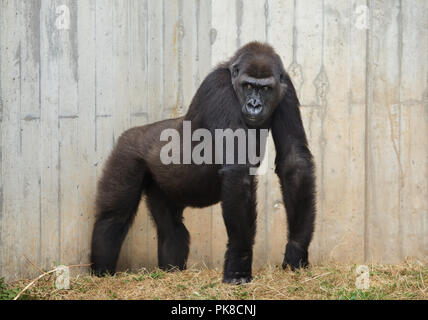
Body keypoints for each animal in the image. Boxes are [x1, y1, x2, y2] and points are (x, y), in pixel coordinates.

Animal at [91, 41, 318, 284]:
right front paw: (238, 262)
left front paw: (296, 250)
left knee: (171, 228)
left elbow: (294, 161)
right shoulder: (220, 89)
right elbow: (238, 171)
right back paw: (101, 273)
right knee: (113, 218)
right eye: (248, 86)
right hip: (127, 152)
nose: (254, 105)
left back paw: (170, 270)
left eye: (265, 88)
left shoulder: (286, 89)